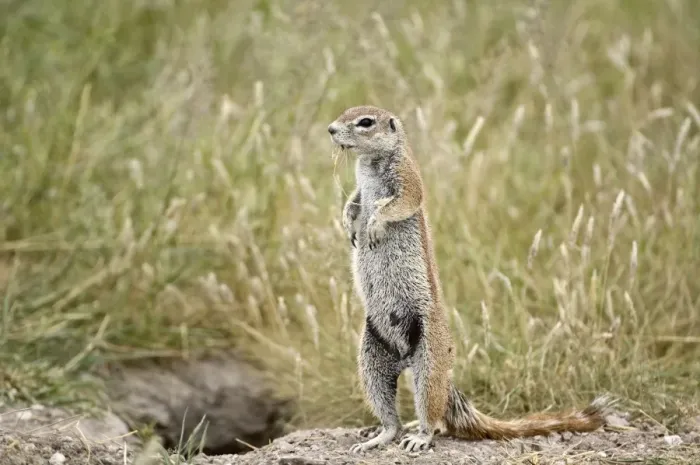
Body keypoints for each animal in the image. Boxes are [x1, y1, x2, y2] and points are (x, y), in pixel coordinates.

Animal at [327, 105, 613, 454]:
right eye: (345, 112)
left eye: (365, 122)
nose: (330, 129)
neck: (371, 163)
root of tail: (406, 359)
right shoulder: (360, 187)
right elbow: (354, 200)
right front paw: (348, 222)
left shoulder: (408, 179)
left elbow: (403, 201)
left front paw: (375, 224)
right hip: (371, 358)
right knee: (389, 415)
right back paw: (379, 437)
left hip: (430, 359)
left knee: (432, 413)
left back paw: (420, 436)